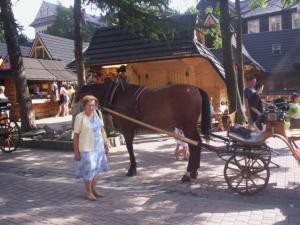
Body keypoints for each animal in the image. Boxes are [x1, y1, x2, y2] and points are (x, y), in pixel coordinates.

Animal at [74, 81, 211, 181]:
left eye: (77, 95)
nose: (74, 114)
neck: (118, 95)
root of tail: (194, 88)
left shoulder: (127, 129)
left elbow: (129, 148)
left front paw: (132, 169)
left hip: (188, 126)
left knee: (194, 145)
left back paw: (188, 173)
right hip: (191, 126)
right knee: (197, 143)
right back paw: (193, 172)